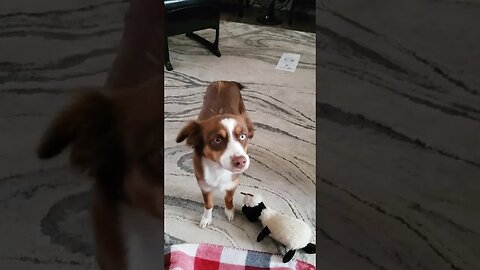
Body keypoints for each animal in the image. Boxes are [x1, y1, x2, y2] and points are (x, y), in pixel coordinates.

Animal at [176, 80, 255, 228]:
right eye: (217, 140)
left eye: (243, 136)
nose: (241, 162)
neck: (219, 169)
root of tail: (224, 81)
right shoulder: (204, 185)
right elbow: (208, 204)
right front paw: (206, 219)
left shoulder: (233, 182)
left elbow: (228, 197)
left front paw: (229, 211)